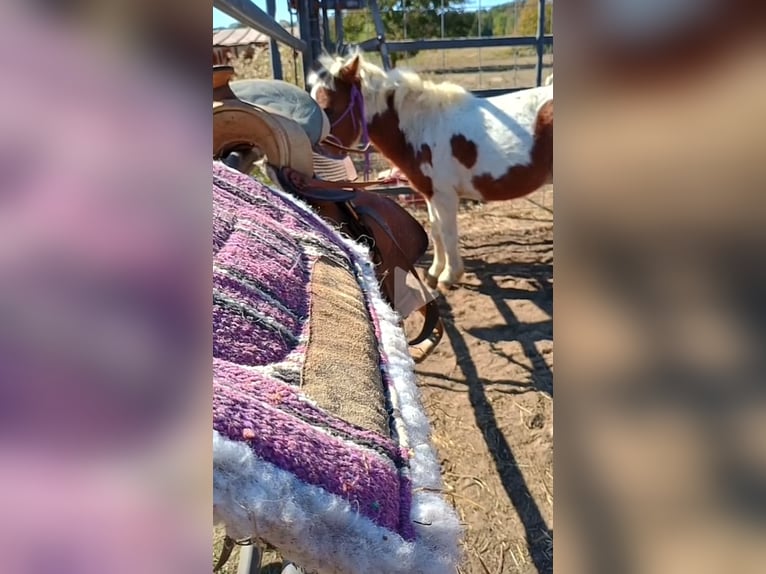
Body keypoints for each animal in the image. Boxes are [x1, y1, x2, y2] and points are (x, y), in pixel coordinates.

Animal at [308, 51, 556, 290]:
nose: (315, 157)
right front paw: (434, 273)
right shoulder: (430, 194)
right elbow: (436, 231)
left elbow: (448, 234)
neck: (421, 127)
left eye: (328, 108)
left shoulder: (445, 195)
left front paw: (449, 276)